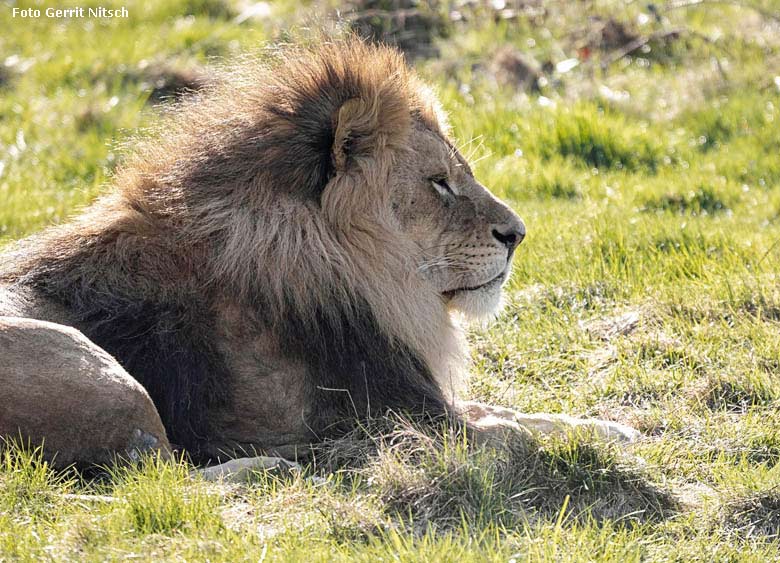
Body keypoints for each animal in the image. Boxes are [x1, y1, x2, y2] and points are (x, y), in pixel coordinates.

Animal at [0, 39, 636, 470]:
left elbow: (523, 413)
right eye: (440, 183)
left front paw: (615, 427)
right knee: (158, 466)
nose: (518, 234)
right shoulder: (398, 415)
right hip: (95, 368)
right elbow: (518, 431)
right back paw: (277, 465)